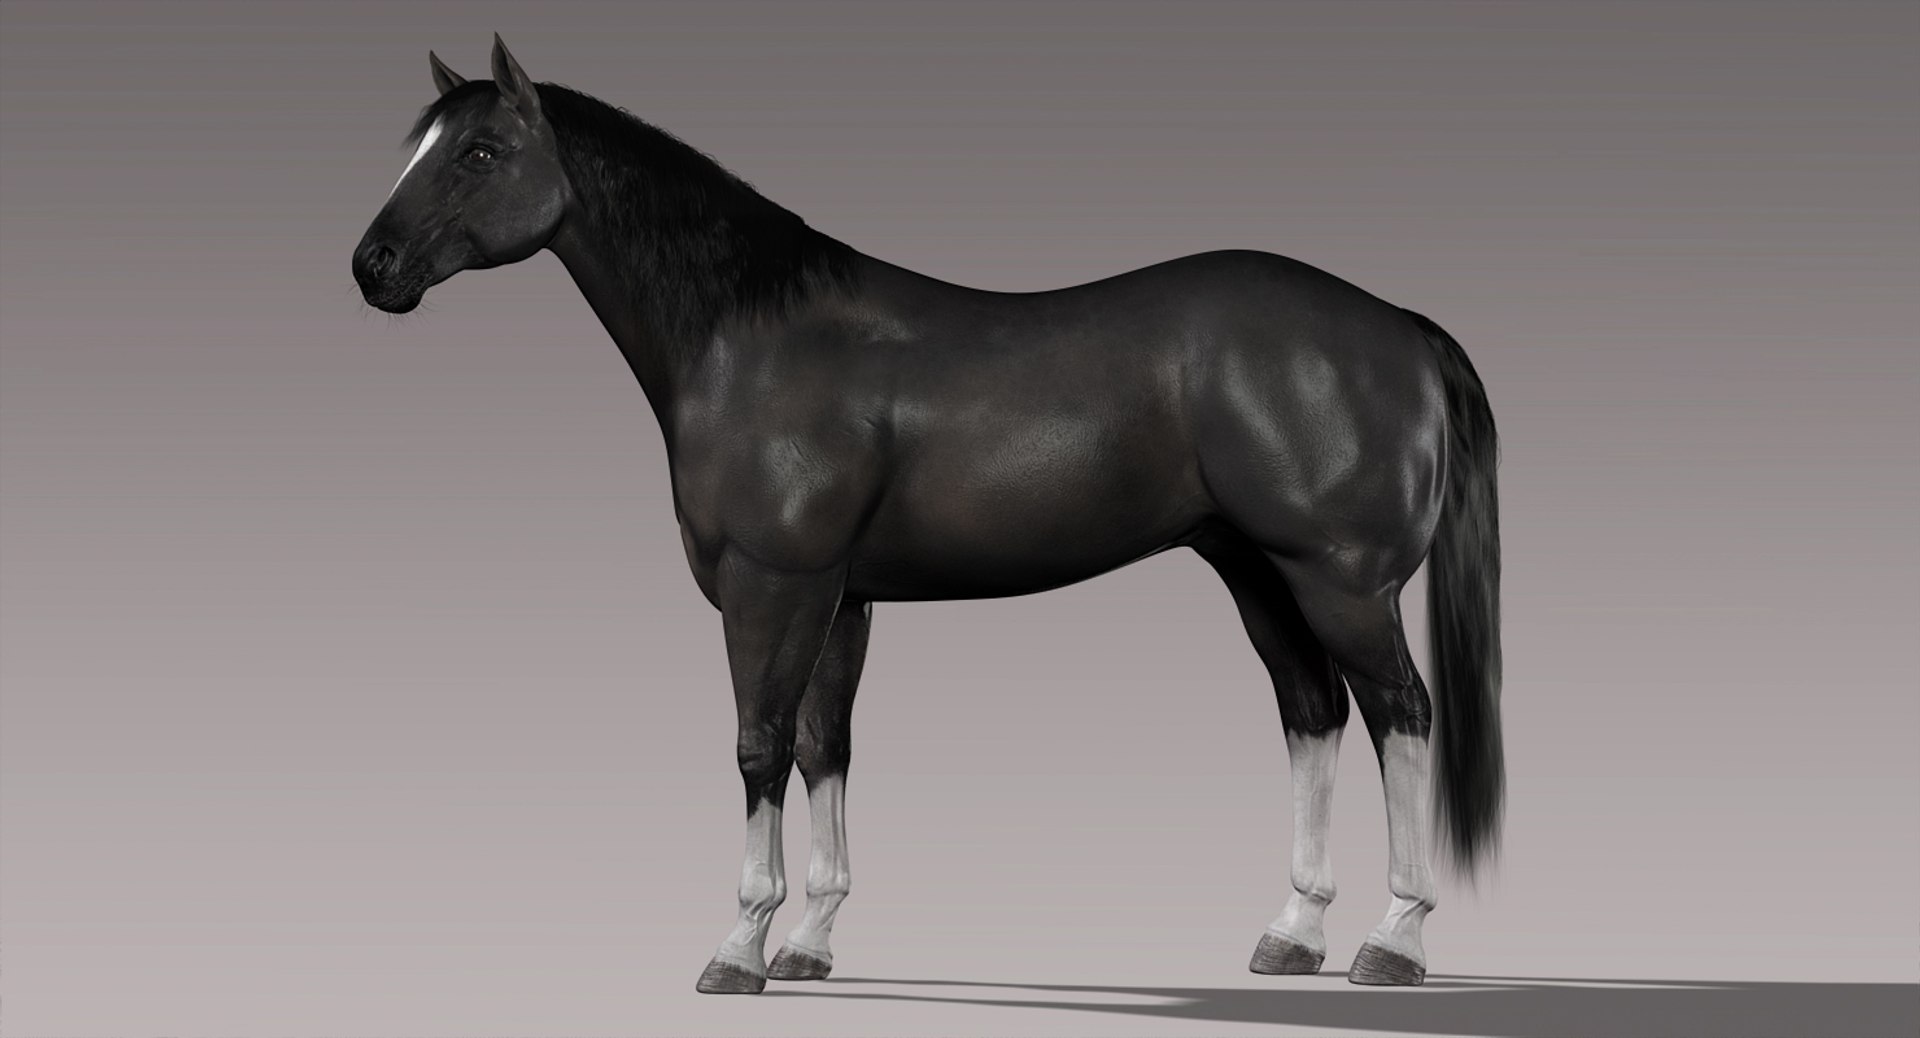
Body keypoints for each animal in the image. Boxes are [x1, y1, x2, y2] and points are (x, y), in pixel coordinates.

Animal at [353, 36, 1504, 995]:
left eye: (482, 152)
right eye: (424, 147)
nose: (372, 268)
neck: (756, 340)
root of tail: (1398, 325)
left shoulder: (771, 587)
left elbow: (759, 747)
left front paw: (739, 949)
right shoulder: (843, 598)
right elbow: (826, 747)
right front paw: (811, 945)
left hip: (1339, 579)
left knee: (1401, 713)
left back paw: (1393, 943)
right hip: (1259, 572)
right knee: (1314, 714)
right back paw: (1292, 936)